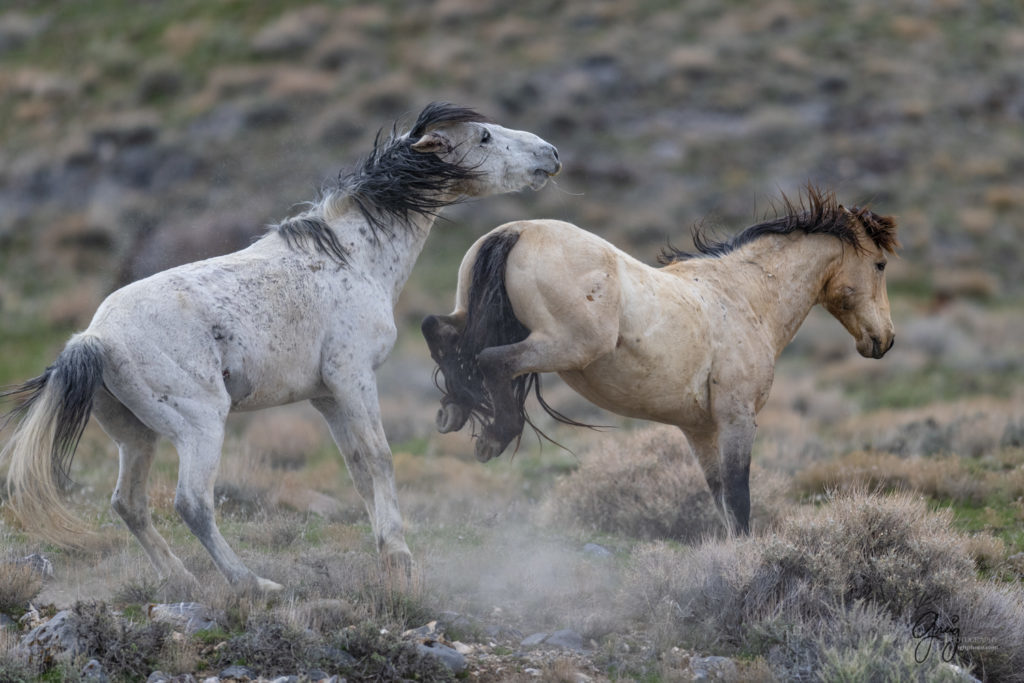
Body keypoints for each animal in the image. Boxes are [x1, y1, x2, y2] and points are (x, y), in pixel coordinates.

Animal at [0, 102, 561, 593]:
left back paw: (182, 581)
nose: (550, 154)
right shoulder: (354, 377)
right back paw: (253, 584)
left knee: (128, 504)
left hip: (135, 436)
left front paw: (386, 554)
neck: (354, 257)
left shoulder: (327, 396)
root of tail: (94, 338)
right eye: (483, 137)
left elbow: (359, 469)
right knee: (192, 503)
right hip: (200, 425)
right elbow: (380, 458)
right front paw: (401, 560)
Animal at [421, 189, 897, 536]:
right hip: (567, 346)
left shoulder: (700, 429)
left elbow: (722, 501)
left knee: (439, 331)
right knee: (491, 361)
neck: (744, 296)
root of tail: (517, 230)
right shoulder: (737, 418)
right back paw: (493, 436)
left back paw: (452, 410)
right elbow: (739, 500)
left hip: (475, 314)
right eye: (879, 265)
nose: (885, 340)